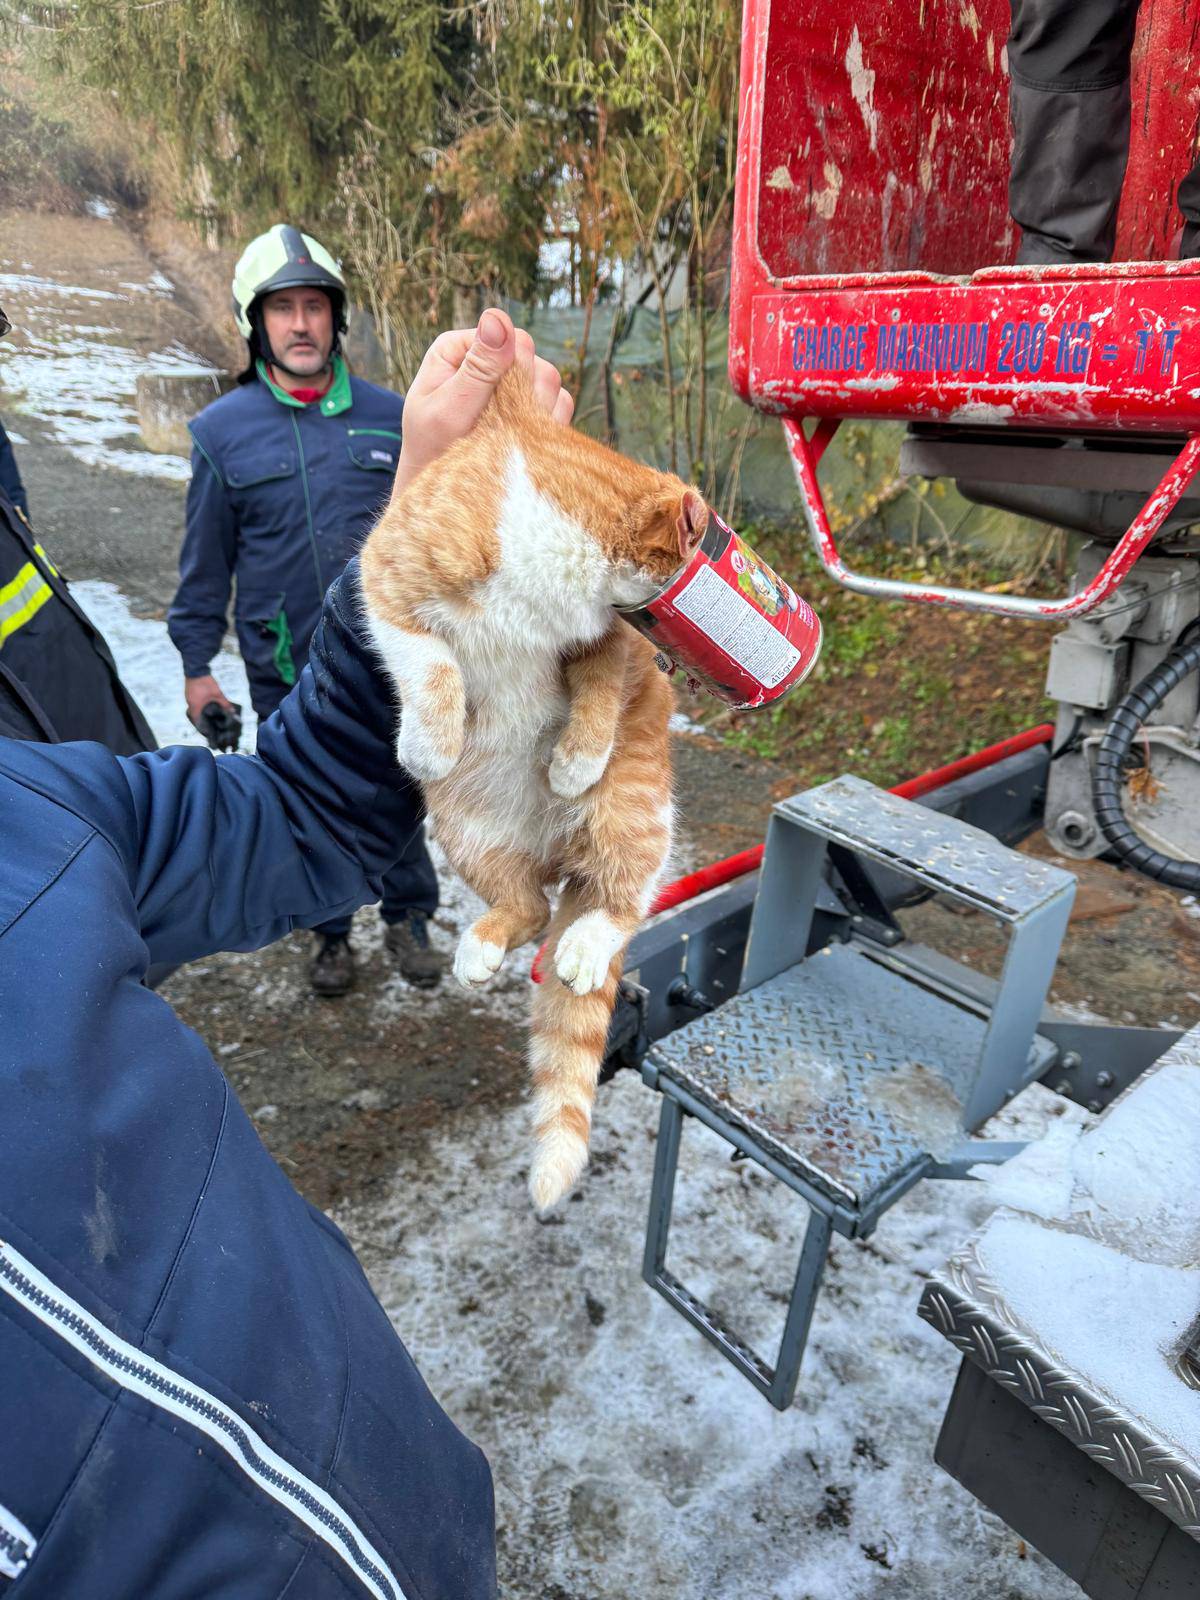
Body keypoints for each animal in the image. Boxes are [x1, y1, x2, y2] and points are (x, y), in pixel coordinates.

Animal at [361, 368, 710, 1203]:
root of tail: (556, 856)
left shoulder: (609, 642)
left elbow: (598, 692)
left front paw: (575, 758)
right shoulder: (385, 577)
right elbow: (430, 663)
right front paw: (430, 740)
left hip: (631, 810)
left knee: (618, 900)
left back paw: (584, 941)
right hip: (465, 833)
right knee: (527, 909)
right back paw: (481, 948)